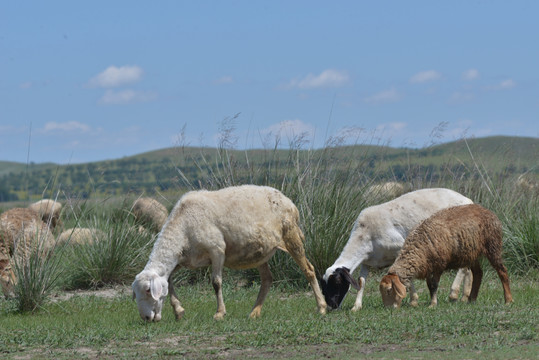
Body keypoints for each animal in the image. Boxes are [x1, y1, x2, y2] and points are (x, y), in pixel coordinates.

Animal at [133, 186, 326, 320]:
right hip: (260, 252)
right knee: (267, 279)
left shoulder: (217, 250)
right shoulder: (185, 259)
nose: (146, 318)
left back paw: (321, 307)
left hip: (291, 234)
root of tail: (289, 201)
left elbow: (216, 282)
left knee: (309, 270)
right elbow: (170, 281)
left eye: (149, 290)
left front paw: (219, 313)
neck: (182, 226)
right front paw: (179, 311)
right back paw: (254, 312)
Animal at [322, 188, 474, 312]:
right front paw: (356, 306)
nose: (331, 306)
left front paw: (413, 301)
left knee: (464, 267)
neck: (364, 235)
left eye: (337, 282)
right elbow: (361, 281)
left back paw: (453, 293)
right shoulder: (367, 261)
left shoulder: (400, 247)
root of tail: (469, 200)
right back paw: (465, 296)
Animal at [380, 204, 516, 308]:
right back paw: (471, 300)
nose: (388, 308)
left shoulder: (438, 265)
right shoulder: (429, 267)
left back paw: (508, 300)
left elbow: (434, 285)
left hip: (493, 245)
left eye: (389, 290)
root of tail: (487, 210)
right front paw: (432, 301)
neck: (418, 249)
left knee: (502, 271)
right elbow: (430, 286)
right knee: (478, 273)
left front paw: (432, 304)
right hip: (472, 253)